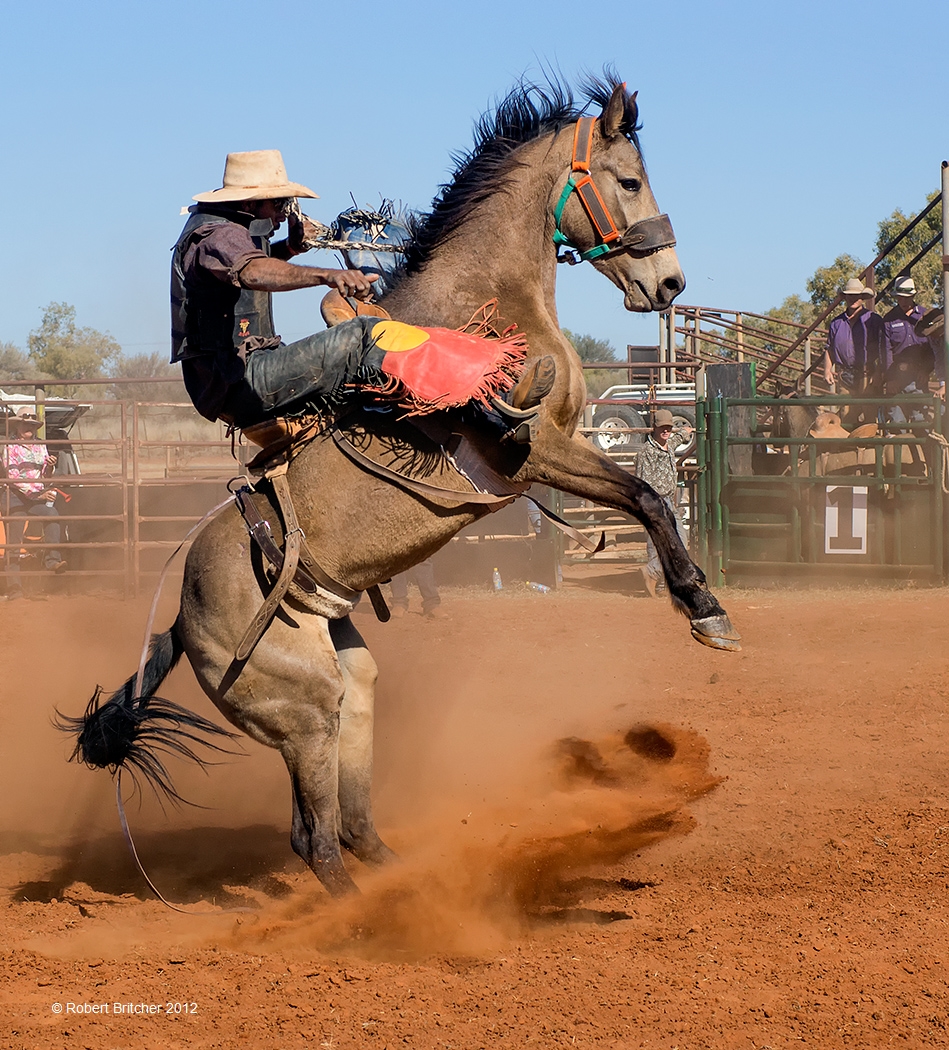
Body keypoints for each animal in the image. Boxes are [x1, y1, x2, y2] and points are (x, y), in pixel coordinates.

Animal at [64, 74, 740, 898]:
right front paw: (704, 610)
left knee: (338, 822)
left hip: (345, 682)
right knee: (316, 841)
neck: (483, 303)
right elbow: (646, 498)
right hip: (302, 706)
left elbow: (643, 498)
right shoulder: (532, 453)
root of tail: (181, 622)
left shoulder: (566, 444)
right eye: (630, 180)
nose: (669, 281)